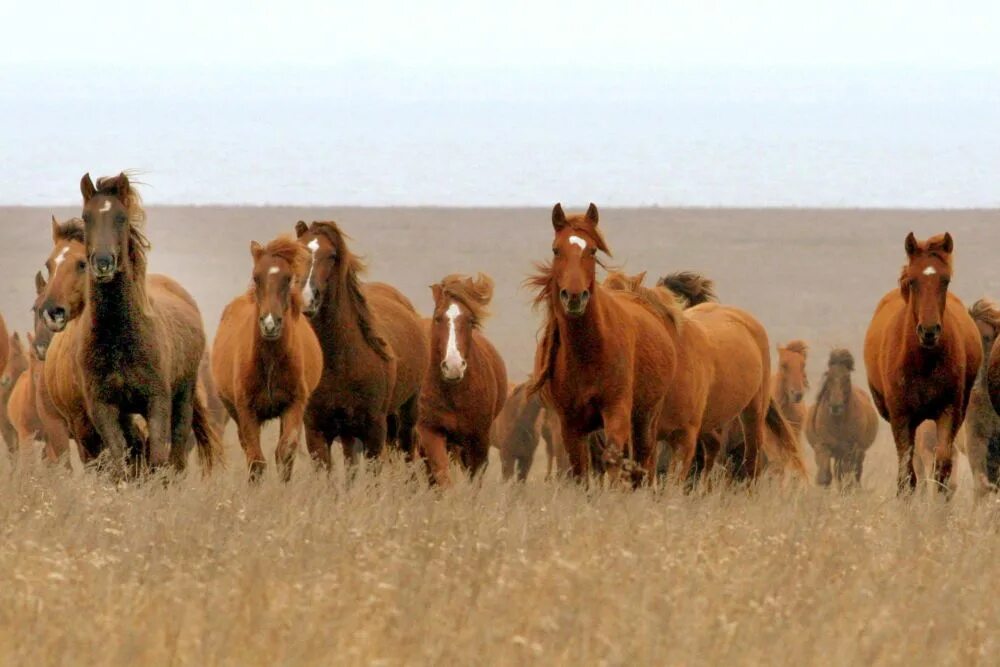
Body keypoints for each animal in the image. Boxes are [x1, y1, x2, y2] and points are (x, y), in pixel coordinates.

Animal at [45, 172, 219, 474]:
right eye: (86, 216)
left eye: (121, 217)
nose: (103, 262)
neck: (119, 337)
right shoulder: (103, 410)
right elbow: (121, 462)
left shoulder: (157, 402)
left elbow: (157, 459)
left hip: (183, 398)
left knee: (176, 453)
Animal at [213, 235, 322, 480]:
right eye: (256, 276)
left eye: (288, 278)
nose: (270, 324)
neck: (270, 362)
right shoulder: (246, 411)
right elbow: (256, 460)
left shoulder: (294, 405)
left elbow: (285, 452)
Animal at [416, 272, 508, 486]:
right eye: (438, 318)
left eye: (471, 320)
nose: (453, 366)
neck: (454, 395)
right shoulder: (430, 432)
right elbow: (441, 474)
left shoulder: (478, 439)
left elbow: (475, 479)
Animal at [804, 352, 876, 488]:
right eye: (828, 376)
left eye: (847, 378)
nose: (835, 406)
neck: (838, 424)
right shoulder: (822, 447)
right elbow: (824, 477)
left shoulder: (849, 451)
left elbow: (845, 479)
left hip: (857, 454)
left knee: (855, 474)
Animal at [864, 232, 980, 494]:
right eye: (913, 281)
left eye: (945, 281)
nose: (929, 331)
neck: (923, 362)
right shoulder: (901, 417)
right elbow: (907, 476)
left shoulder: (948, 412)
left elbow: (942, 470)